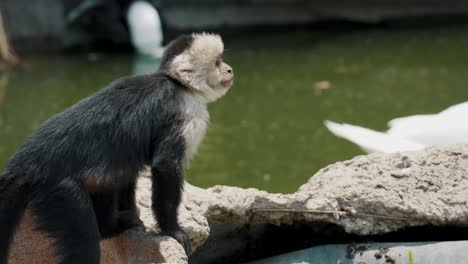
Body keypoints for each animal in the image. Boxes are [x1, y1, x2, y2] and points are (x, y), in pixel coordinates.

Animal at [0, 32, 234, 262]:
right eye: (217, 62)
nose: (229, 69)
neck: (179, 84)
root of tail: (26, 164)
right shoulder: (185, 111)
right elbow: (165, 165)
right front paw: (172, 230)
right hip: (56, 189)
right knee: (84, 237)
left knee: (112, 177)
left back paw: (111, 227)